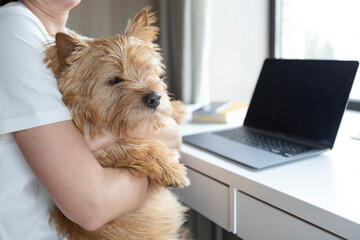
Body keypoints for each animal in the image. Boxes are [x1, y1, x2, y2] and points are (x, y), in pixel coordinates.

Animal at [43, 6, 191, 239]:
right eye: (114, 80)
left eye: (147, 69)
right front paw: (172, 169)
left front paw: (176, 108)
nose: (154, 98)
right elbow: (131, 146)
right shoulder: (98, 151)